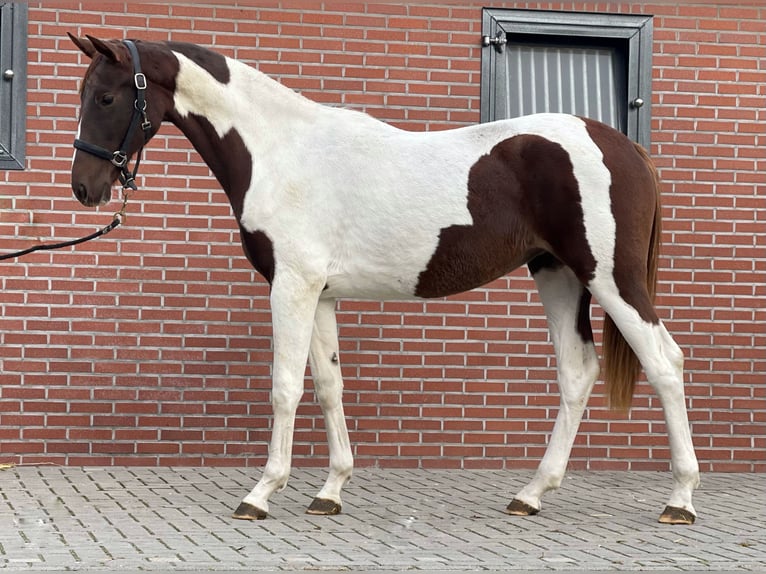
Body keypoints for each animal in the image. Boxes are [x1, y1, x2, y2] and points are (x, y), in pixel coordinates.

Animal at [69, 35, 700, 528]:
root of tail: (625, 147)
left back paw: (680, 499)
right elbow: (328, 387)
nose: (85, 187)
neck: (281, 151)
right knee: (577, 372)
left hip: (611, 278)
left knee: (665, 362)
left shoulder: (291, 287)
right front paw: (329, 492)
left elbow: (284, 388)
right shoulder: (319, 295)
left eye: (107, 96)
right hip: (558, 276)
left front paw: (261, 494)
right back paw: (531, 494)